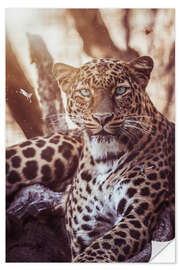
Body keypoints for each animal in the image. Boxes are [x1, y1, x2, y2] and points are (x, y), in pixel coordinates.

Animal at [6, 56, 175, 262]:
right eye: (85, 92)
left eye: (120, 90)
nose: (102, 118)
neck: (105, 159)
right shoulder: (85, 230)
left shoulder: (138, 215)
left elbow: (100, 247)